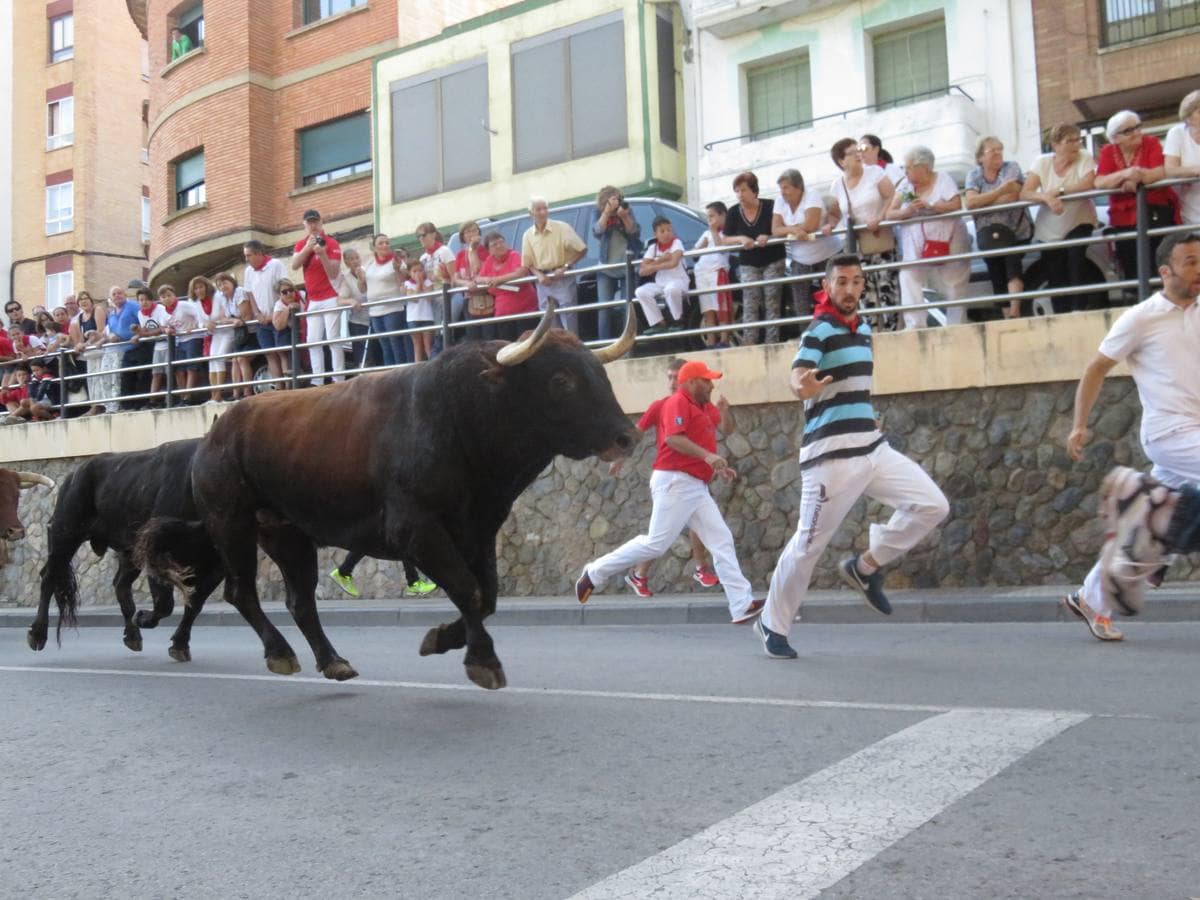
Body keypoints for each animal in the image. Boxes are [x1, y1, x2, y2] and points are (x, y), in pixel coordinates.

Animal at [29, 441, 223, 657]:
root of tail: (75, 475)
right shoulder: (157, 554)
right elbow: (165, 603)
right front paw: (144, 618)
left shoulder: (217, 568)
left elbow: (194, 604)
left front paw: (179, 645)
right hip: (65, 534)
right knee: (49, 577)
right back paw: (37, 635)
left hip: (128, 551)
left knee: (120, 584)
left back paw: (133, 637)